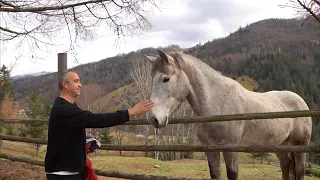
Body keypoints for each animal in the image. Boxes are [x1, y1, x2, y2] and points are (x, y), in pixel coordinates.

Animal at [143, 49, 312, 180]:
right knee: (285, 168)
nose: (153, 118)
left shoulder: (230, 149)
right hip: (281, 147)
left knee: (299, 171)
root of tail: (301, 101)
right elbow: (215, 174)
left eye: (166, 79)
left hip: (299, 147)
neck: (217, 104)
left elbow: (232, 174)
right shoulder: (210, 150)